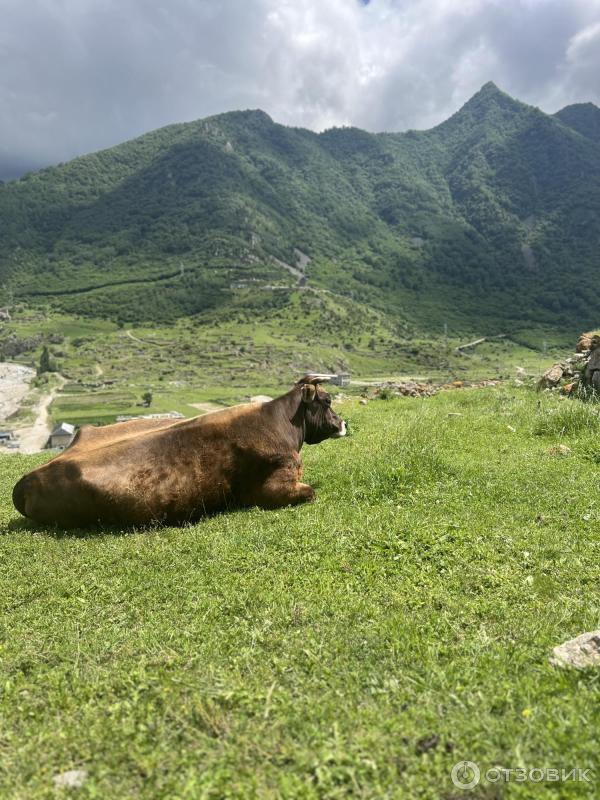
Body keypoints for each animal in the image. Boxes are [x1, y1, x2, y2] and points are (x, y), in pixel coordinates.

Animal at [11, 376, 346, 528]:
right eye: (328, 401)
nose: (344, 422)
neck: (280, 421)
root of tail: (26, 479)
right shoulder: (270, 487)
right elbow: (310, 491)